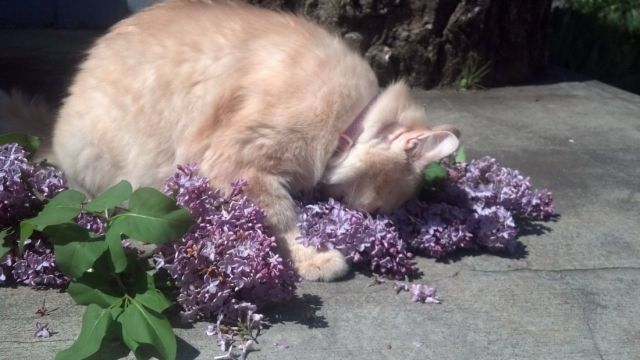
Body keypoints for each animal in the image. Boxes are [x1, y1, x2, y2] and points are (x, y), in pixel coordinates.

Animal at [47, 0, 460, 282]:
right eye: (375, 208)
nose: (362, 216)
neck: (352, 117)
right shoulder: (239, 163)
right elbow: (281, 217)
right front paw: (312, 257)